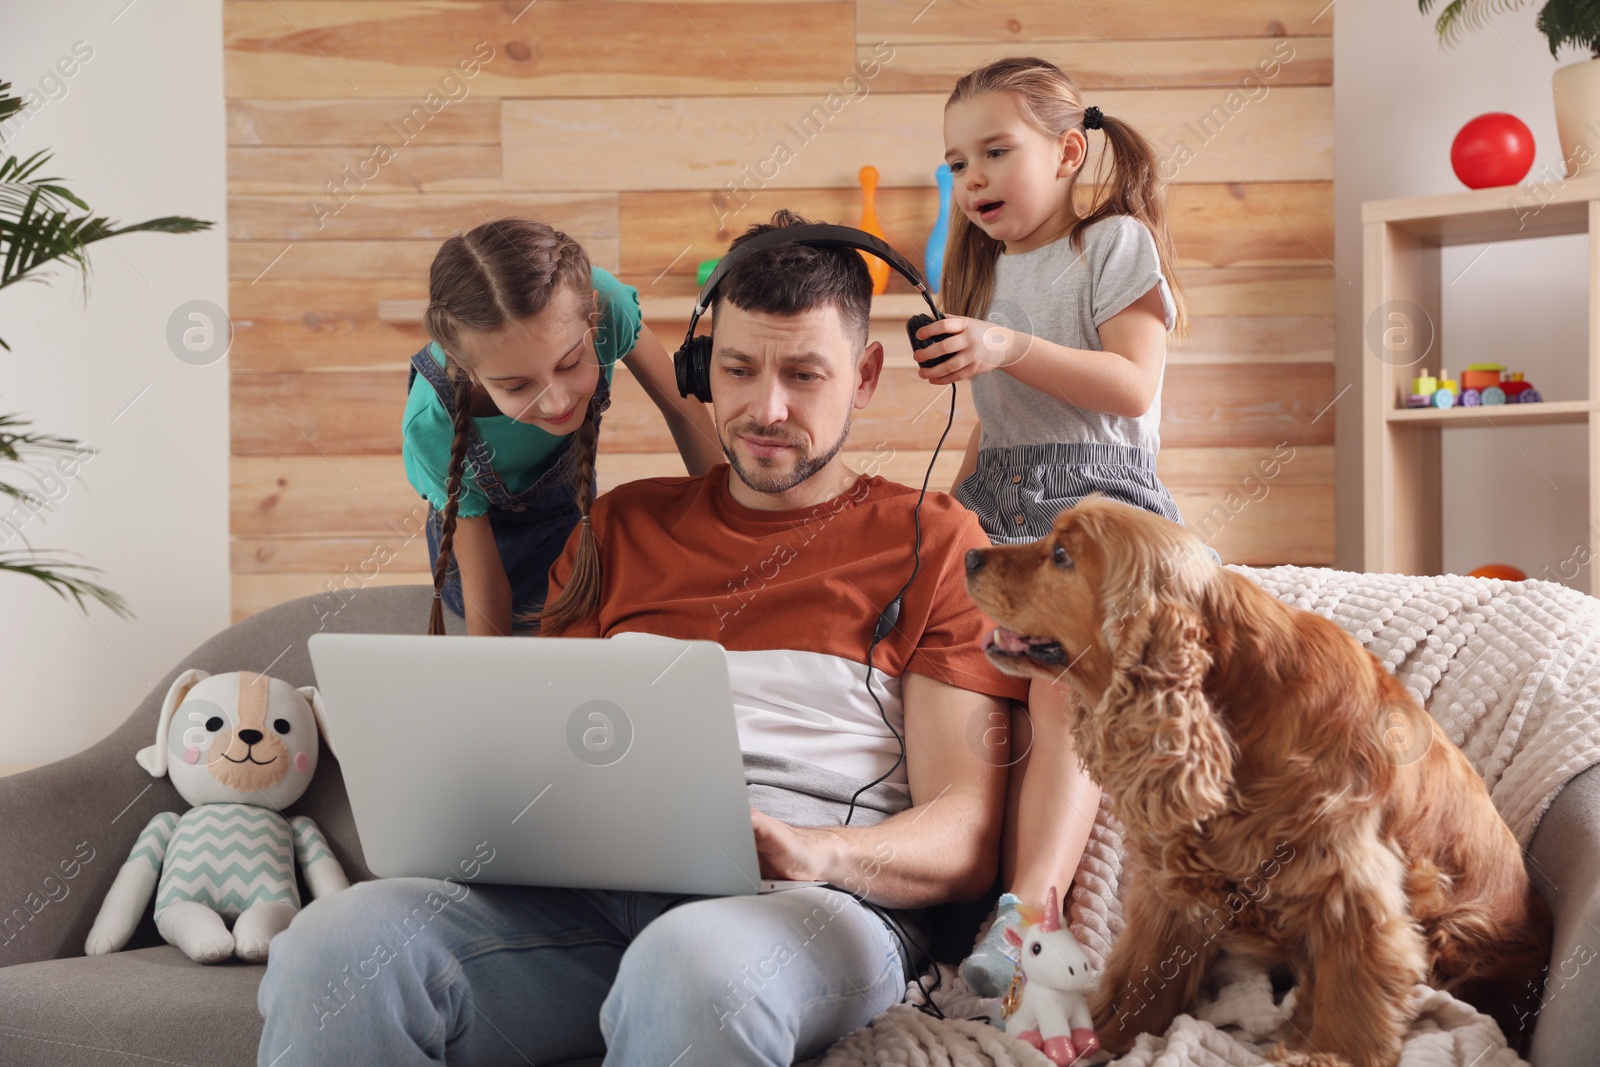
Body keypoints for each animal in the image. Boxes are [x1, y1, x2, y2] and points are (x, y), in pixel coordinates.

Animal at [960, 495, 1548, 1067]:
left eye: (1061, 555)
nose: (970, 556)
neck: (1228, 708)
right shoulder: (1173, 880)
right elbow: (1147, 972)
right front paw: (1110, 1035)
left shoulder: (1349, 880)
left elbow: (1353, 986)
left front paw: (1332, 1054)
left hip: (1459, 928)